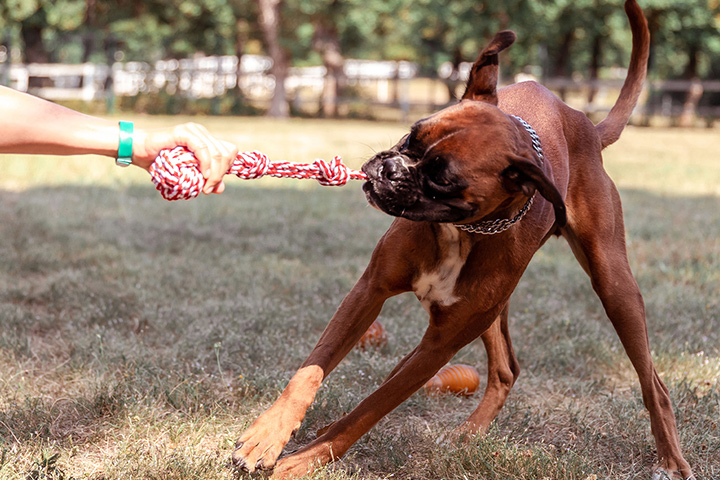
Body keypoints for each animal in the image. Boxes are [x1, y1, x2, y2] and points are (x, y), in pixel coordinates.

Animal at [232, 1, 694, 478]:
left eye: (442, 180)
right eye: (411, 136)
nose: (391, 168)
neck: (462, 231)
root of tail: (583, 122)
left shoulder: (440, 343)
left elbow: (369, 408)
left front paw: (306, 458)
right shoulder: (369, 292)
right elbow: (311, 370)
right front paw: (268, 435)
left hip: (614, 287)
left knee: (654, 383)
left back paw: (671, 458)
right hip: (495, 312)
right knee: (506, 369)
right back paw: (468, 434)